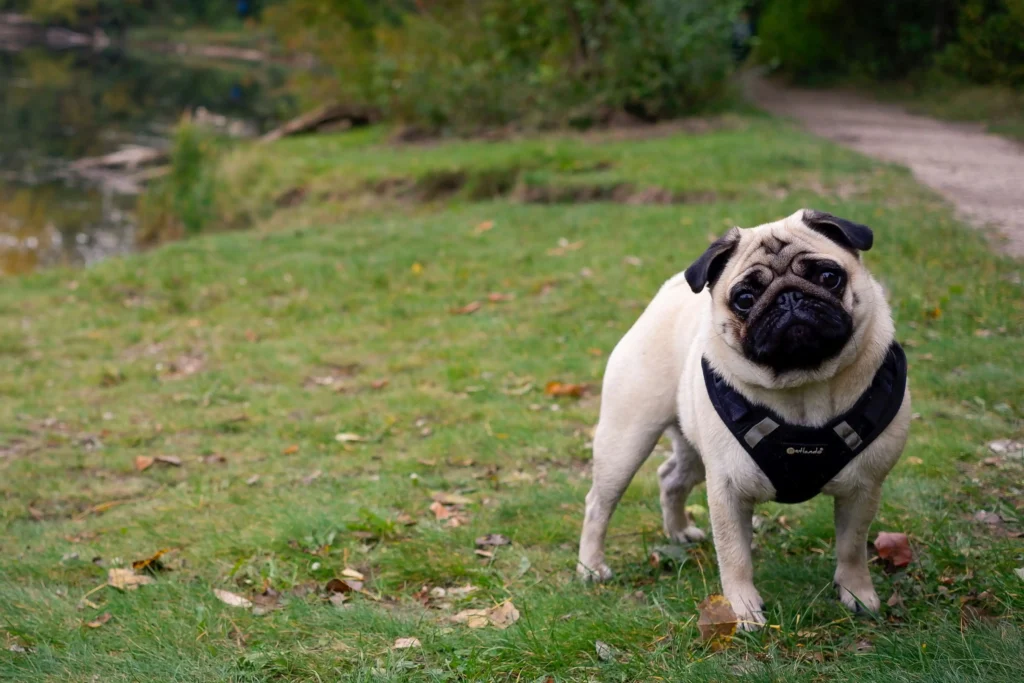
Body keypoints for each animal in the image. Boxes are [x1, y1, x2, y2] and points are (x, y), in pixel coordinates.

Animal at [577, 209, 913, 630]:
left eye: (828, 277)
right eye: (745, 299)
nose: (789, 297)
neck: (805, 388)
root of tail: (665, 294)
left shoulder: (864, 488)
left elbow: (851, 548)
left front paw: (857, 593)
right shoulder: (728, 490)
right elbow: (735, 556)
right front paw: (743, 609)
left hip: (692, 450)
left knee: (670, 478)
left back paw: (678, 532)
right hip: (626, 442)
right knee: (598, 504)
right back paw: (591, 567)